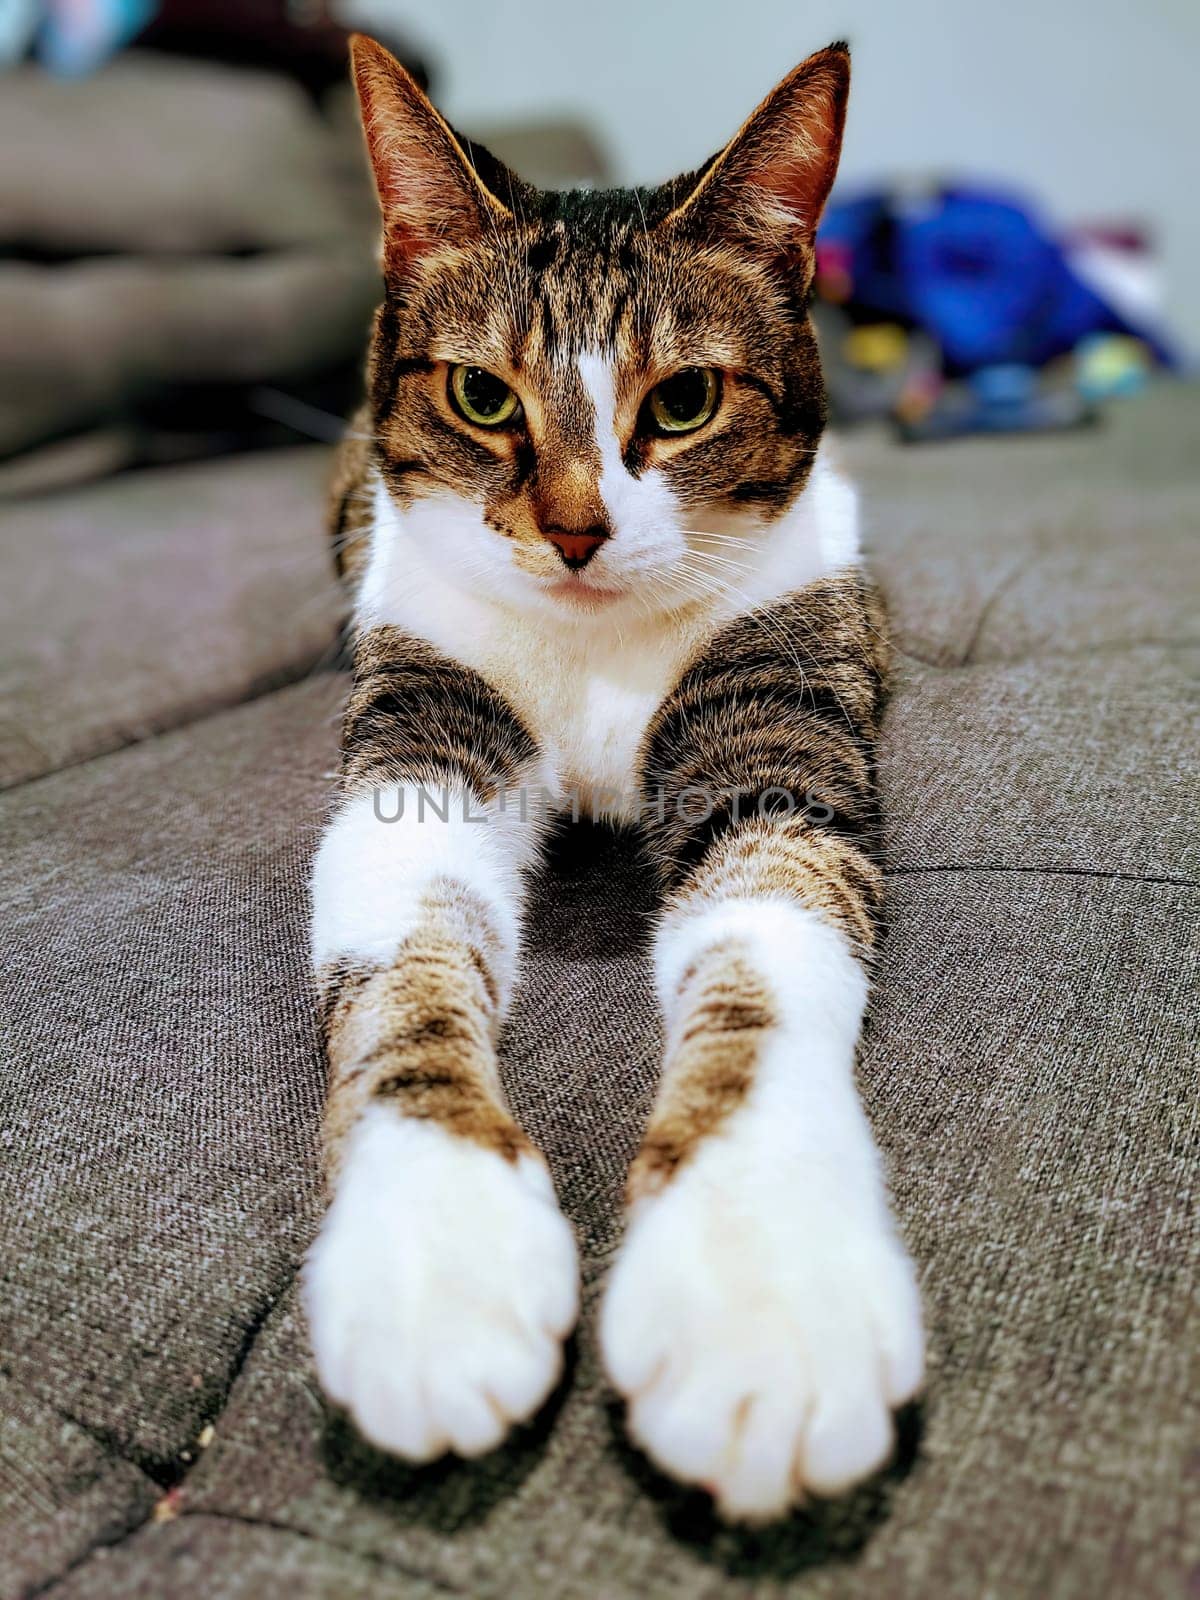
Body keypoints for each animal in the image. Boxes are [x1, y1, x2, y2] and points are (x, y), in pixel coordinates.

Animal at [305, 31, 928, 1516]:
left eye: (684, 401)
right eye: (482, 395)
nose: (578, 533)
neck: (594, 648)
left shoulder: (780, 724)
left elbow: (764, 958)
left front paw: (764, 1294)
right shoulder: (421, 735)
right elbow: (403, 971)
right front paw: (434, 1263)